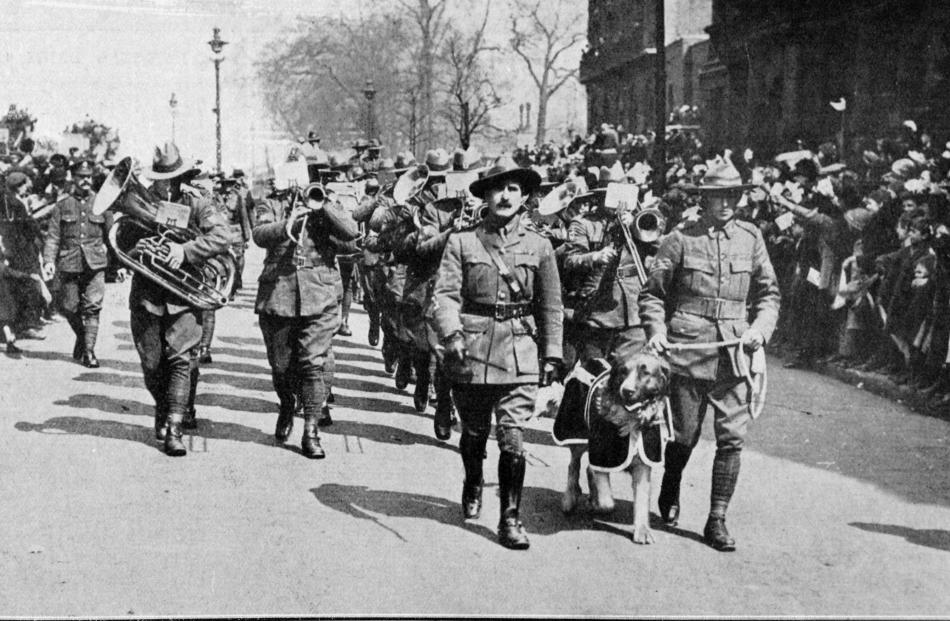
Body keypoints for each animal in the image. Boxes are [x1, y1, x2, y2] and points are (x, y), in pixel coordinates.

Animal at [556, 348, 672, 544]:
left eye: (645, 373)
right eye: (623, 372)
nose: (627, 391)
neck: (631, 418)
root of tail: (592, 360)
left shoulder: (643, 464)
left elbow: (641, 499)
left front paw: (642, 530)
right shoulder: (600, 454)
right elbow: (606, 500)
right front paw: (599, 503)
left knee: (587, 468)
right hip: (576, 435)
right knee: (574, 465)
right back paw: (570, 498)